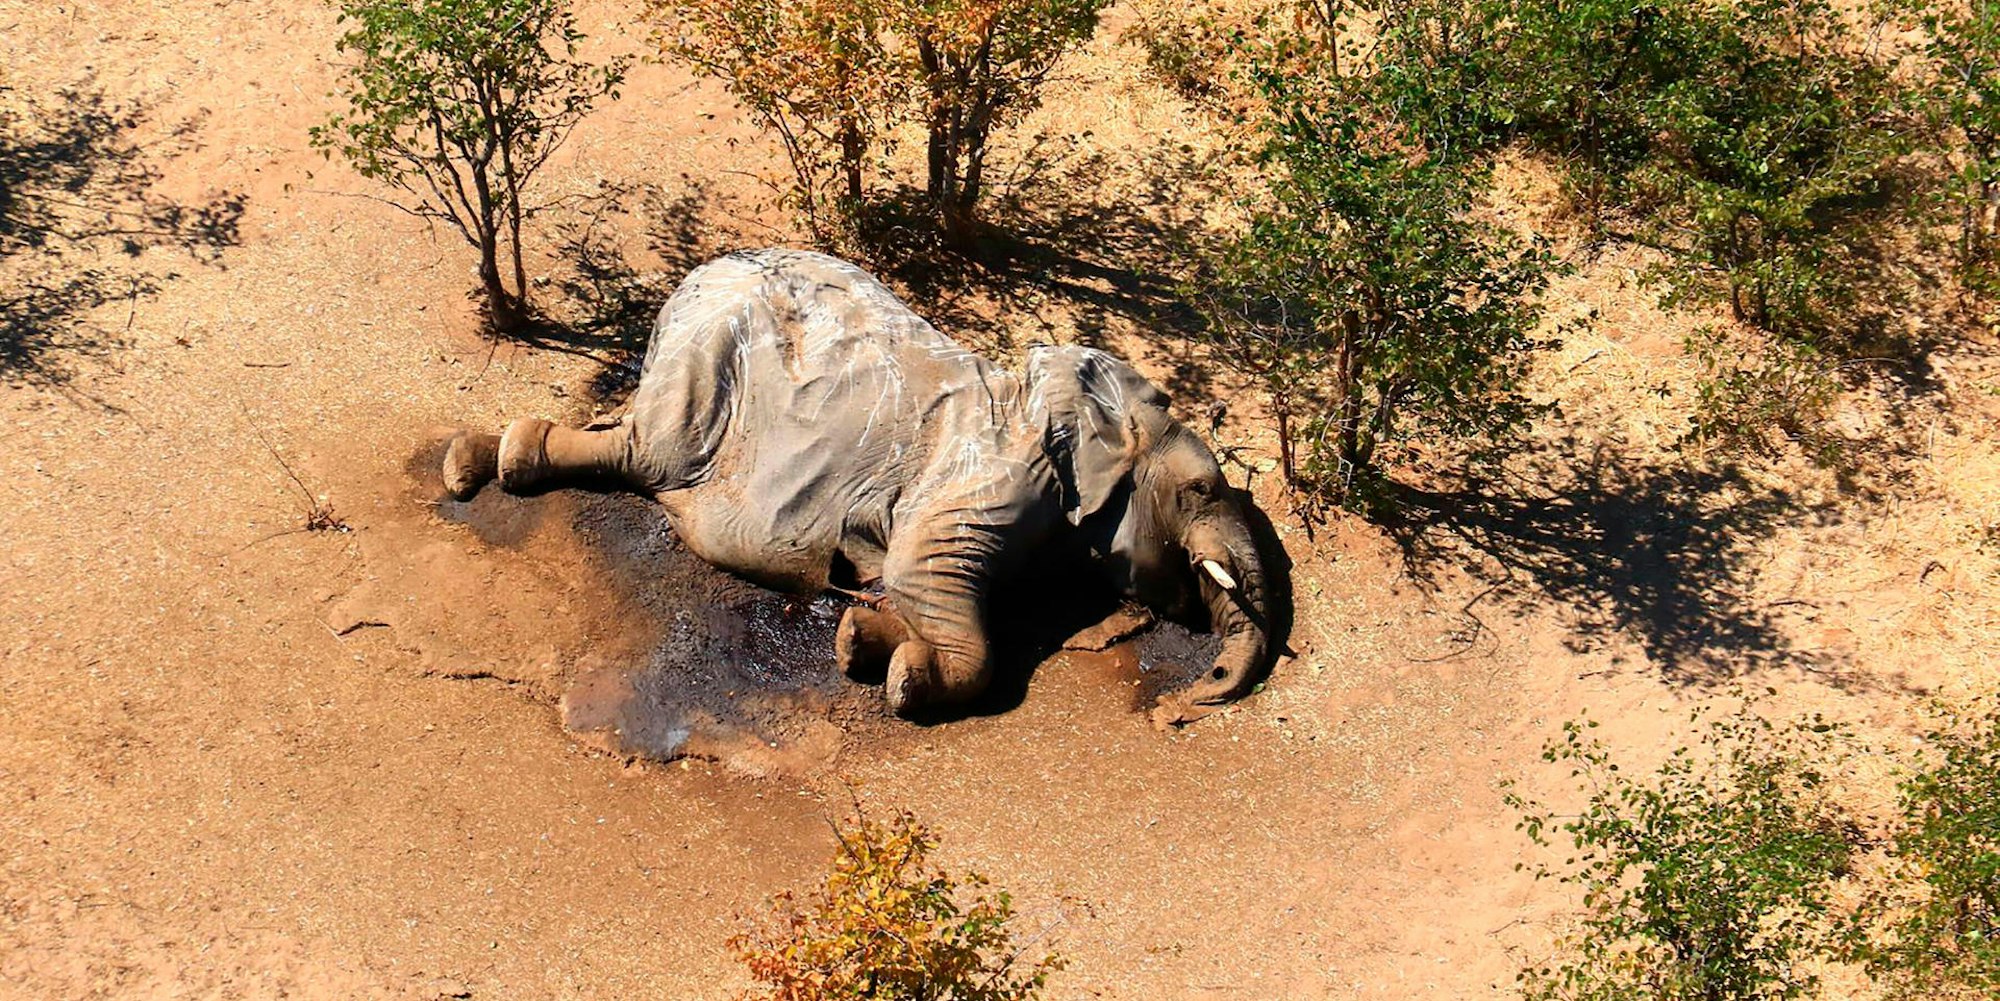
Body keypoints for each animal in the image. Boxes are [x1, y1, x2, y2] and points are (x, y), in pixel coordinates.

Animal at [442, 249, 1279, 724]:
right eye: (1202, 489)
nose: (1188, 703)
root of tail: (691, 278)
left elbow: (916, 587)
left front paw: (859, 640)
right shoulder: (992, 475)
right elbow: (925, 575)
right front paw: (907, 678)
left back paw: (477, 459)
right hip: (704, 362)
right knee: (648, 454)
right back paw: (488, 462)